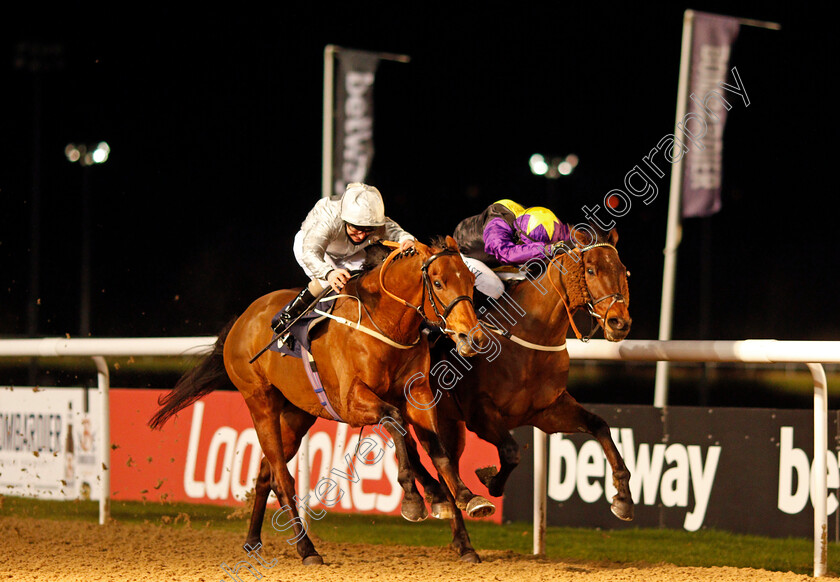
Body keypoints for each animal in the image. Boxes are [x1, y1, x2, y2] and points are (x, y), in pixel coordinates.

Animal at [149, 237, 498, 564]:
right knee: (281, 477)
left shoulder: (417, 396)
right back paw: (307, 549)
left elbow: (437, 453)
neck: (384, 322)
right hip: (260, 402)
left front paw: (466, 504)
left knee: (265, 472)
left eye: (471, 280)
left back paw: (253, 541)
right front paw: (414, 499)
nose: (473, 338)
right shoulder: (352, 402)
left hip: (297, 414)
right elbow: (397, 424)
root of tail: (242, 320)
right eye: (438, 282)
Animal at [410, 224, 632, 560]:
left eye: (622, 270)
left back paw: (463, 542)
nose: (620, 322)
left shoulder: (548, 411)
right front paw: (492, 481)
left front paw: (623, 498)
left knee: (448, 469)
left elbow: (600, 426)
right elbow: (512, 451)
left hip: (450, 423)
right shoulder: (480, 412)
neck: (529, 336)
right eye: (591, 270)